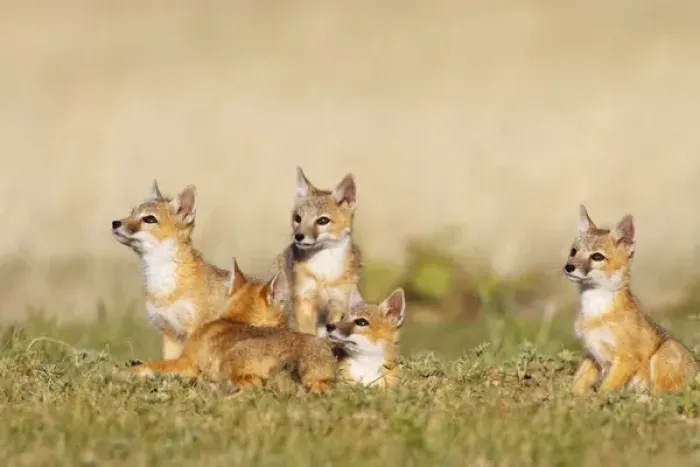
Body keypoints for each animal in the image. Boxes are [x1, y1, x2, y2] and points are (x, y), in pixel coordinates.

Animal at [270, 167, 363, 337]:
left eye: (322, 221)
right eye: (298, 218)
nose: (298, 236)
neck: (324, 270)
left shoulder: (338, 303)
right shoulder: (304, 299)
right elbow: (308, 334)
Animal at [564, 204, 697, 395]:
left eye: (597, 257)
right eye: (573, 252)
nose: (569, 267)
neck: (595, 313)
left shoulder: (626, 359)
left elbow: (605, 390)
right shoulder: (592, 354)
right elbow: (577, 385)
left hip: (664, 352)